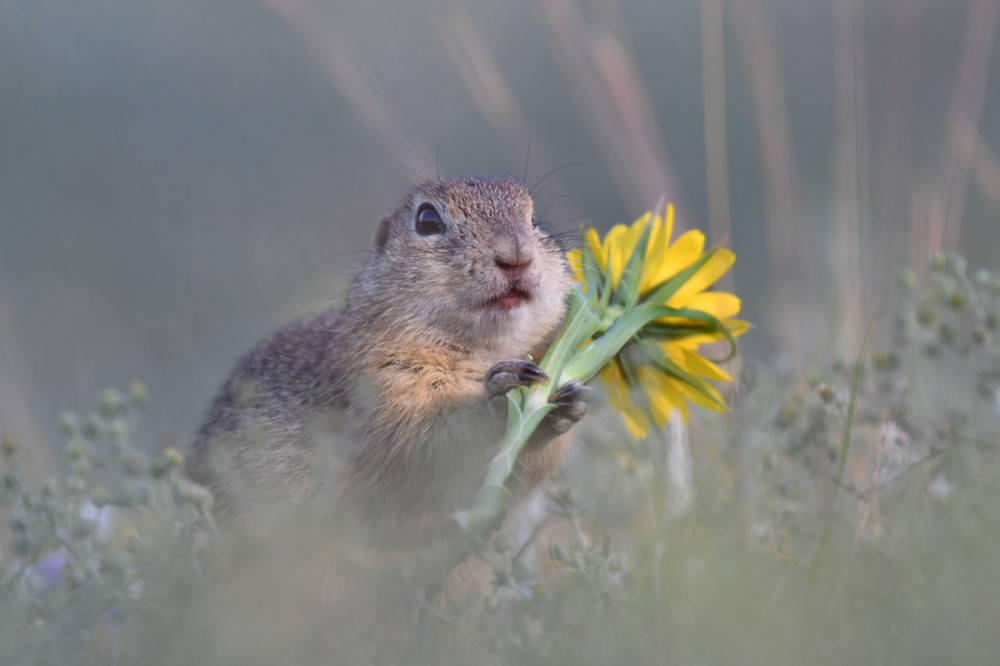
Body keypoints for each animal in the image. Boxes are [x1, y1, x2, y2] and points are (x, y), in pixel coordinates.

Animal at [188, 176, 584, 544]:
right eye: (427, 220)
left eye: (533, 218)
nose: (516, 256)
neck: (485, 349)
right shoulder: (380, 385)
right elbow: (422, 439)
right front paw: (501, 396)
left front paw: (569, 402)